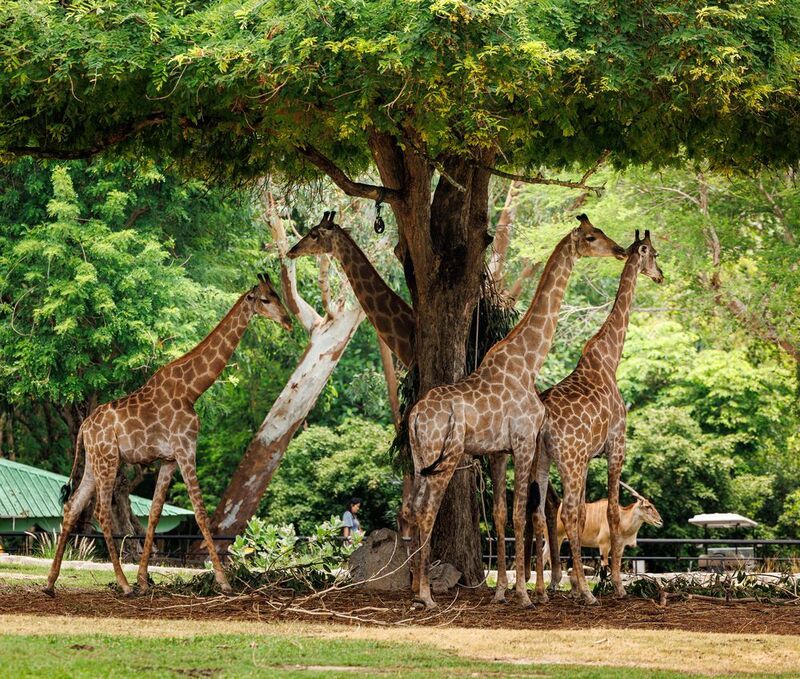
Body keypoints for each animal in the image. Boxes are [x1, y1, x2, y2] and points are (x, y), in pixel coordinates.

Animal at [44, 275, 293, 597]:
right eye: (265, 299)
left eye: (278, 295)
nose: (288, 321)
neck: (192, 389)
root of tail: (85, 427)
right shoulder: (187, 450)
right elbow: (200, 513)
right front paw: (223, 581)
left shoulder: (168, 460)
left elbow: (154, 514)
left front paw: (144, 579)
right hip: (108, 459)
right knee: (100, 511)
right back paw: (122, 585)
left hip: (94, 462)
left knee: (72, 506)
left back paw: (51, 583)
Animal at [288, 210, 540, 602]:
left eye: (315, 234)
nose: (291, 250)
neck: (405, 332)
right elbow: (409, 502)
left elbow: (411, 498)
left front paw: (415, 576)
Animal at [401, 215, 626, 609]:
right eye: (591, 237)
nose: (620, 249)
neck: (528, 362)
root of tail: (414, 417)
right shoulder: (522, 442)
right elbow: (521, 514)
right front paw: (523, 594)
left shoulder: (498, 451)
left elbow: (500, 515)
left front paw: (502, 592)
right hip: (444, 459)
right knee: (427, 510)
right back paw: (427, 596)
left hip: (419, 459)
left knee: (412, 508)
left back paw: (416, 590)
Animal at [528, 230, 663, 605]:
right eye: (654, 253)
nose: (661, 276)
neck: (610, 357)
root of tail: (543, 422)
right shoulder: (617, 444)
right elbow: (613, 512)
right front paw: (615, 584)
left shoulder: (589, 457)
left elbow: (585, 513)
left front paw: (576, 583)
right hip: (569, 459)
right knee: (566, 511)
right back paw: (587, 594)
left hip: (543, 459)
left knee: (540, 511)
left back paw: (542, 591)